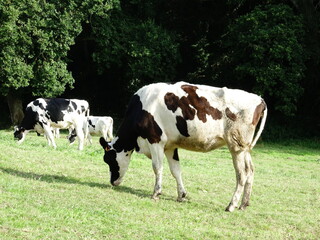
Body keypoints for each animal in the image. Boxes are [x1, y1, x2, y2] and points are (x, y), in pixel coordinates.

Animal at [100, 82, 268, 212]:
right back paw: (244, 204)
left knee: (242, 174)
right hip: (244, 148)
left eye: (108, 160)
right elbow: (176, 170)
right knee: (250, 170)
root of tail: (259, 98)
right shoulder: (170, 146)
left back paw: (231, 205)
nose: (112, 182)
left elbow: (157, 167)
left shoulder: (155, 140)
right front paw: (181, 195)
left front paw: (156, 193)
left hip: (236, 146)